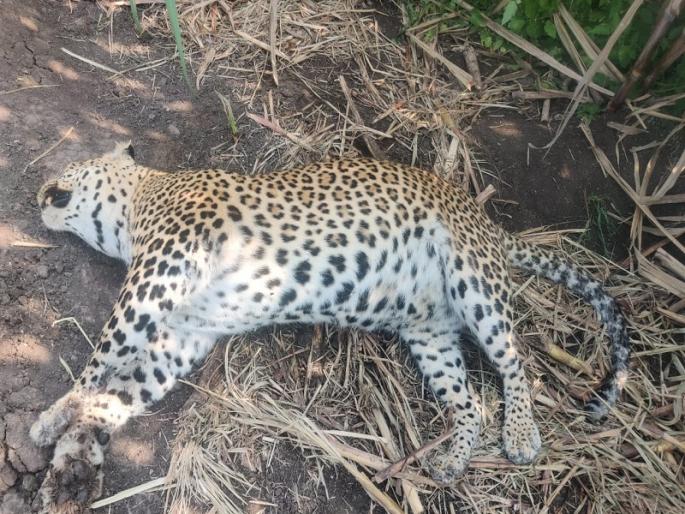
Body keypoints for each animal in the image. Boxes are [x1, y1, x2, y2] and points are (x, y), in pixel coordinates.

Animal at [31, 141, 629, 513]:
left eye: (65, 172)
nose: (38, 193)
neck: (140, 202)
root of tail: (488, 222)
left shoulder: (156, 278)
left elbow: (102, 353)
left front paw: (53, 419)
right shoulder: (183, 335)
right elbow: (125, 390)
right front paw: (78, 441)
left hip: (474, 281)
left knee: (515, 362)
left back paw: (522, 435)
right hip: (430, 334)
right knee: (469, 403)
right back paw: (450, 462)